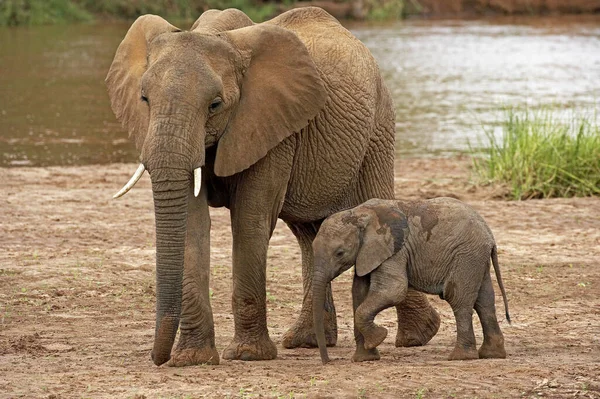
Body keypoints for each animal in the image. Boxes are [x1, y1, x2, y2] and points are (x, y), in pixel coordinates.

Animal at [106, 7, 440, 368]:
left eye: (215, 105)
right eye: (144, 98)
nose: (158, 358)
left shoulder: (271, 128)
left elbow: (250, 219)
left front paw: (247, 355)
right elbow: (193, 225)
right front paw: (193, 359)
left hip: (378, 126)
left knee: (376, 203)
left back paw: (419, 336)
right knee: (309, 233)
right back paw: (306, 341)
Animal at [314, 198, 510, 364]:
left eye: (339, 253)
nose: (327, 361)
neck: (359, 213)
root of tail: (490, 236)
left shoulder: (395, 250)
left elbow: (393, 290)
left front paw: (380, 337)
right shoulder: (368, 254)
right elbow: (358, 293)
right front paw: (365, 359)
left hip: (466, 255)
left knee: (458, 298)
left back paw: (460, 357)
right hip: (476, 257)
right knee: (484, 301)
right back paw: (491, 354)